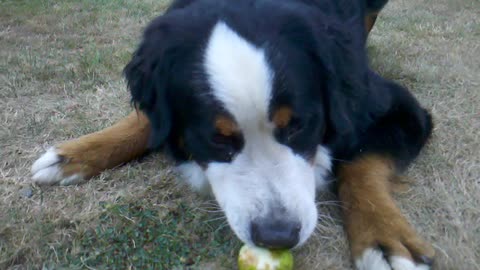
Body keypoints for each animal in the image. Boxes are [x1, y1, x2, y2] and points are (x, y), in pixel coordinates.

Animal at [30, 0, 436, 268]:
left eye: (298, 126)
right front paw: (78, 153)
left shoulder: (397, 107)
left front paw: (383, 240)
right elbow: (149, 119)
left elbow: (362, 167)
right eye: (217, 138)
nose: (277, 236)